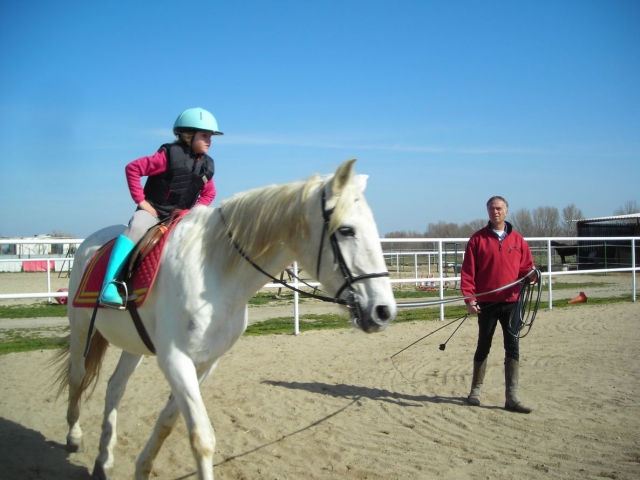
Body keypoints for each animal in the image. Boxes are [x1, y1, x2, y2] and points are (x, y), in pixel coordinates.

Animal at [55, 158, 397, 480]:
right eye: (346, 230)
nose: (384, 311)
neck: (214, 272)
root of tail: (91, 242)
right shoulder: (175, 360)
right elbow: (201, 438)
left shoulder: (206, 362)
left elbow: (168, 422)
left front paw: (142, 468)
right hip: (81, 330)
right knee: (78, 376)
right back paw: (74, 436)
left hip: (133, 345)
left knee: (114, 387)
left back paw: (103, 462)